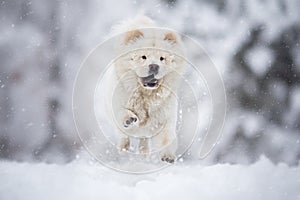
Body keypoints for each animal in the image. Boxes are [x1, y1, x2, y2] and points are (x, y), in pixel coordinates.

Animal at [108, 15, 185, 162]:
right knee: (124, 137)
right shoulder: (118, 103)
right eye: (143, 57)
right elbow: (122, 114)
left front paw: (168, 156)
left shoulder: (165, 117)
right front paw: (129, 118)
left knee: (144, 140)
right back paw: (124, 147)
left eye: (162, 58)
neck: (147, 95)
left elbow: (167, 138)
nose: (154, 66)